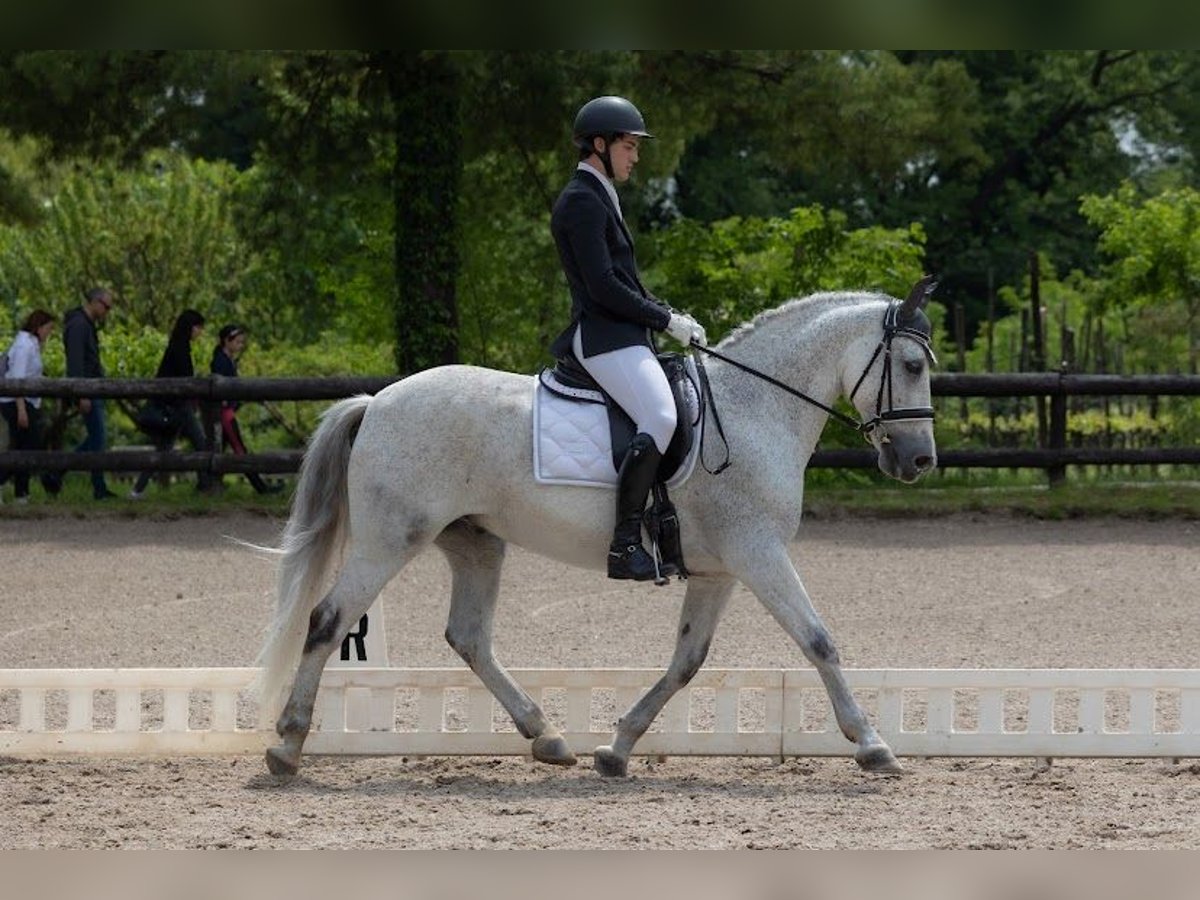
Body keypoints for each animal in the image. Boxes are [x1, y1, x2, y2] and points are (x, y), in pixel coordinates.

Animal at [258, 278, 940, 777]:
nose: (919, 461)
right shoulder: (759, 553)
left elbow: (687, 660)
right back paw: (287, 745)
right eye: (910, 364)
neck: (754, 410)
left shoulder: (720, 570)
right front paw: (872, 744)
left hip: (476, 542)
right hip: (390, 540)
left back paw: (548, 737)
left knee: (469, 637)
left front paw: (618, 748)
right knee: (329, 620)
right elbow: (818, 640)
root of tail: (376, 400)